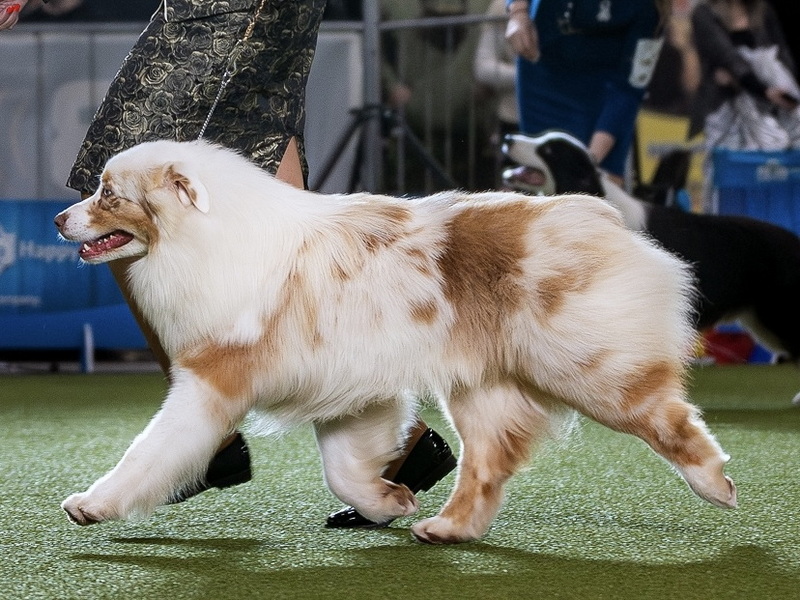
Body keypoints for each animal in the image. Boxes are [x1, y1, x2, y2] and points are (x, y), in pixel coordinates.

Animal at [54, 139, 735, 544]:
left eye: (108, 193)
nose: (59, 219)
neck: (210, 239)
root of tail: (597, 214)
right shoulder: (349, 392)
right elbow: (343, 470)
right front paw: (386, 501)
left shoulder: (209, 384)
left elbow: (150, 452)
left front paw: (95, 504)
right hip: (481, 390)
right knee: (486, 466)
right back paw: (447, 529)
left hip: (589, 368)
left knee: (668, 417)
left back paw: (716, 485)